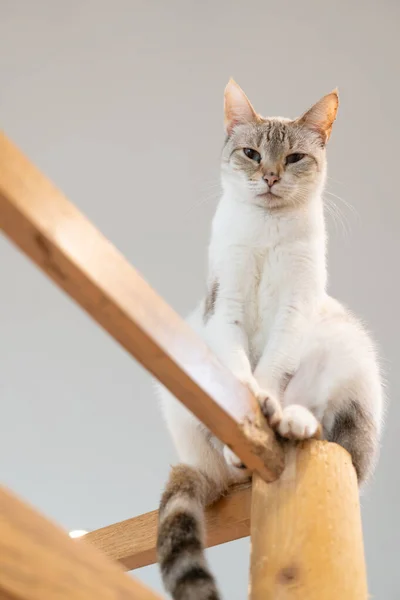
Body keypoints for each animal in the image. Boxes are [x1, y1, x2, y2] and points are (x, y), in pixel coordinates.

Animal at [155, 81, 382, 600]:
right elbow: (241, 375)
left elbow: (271, 371)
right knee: (223, 463)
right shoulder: (225, 307)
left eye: (294, 157)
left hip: (347, 355)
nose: (272, 176)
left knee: (317, 423)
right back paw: (237, 454)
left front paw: (270, 407)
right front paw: (251, 409)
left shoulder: (296, 310)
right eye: (252, 154)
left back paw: (292, 422)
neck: (267, 229)